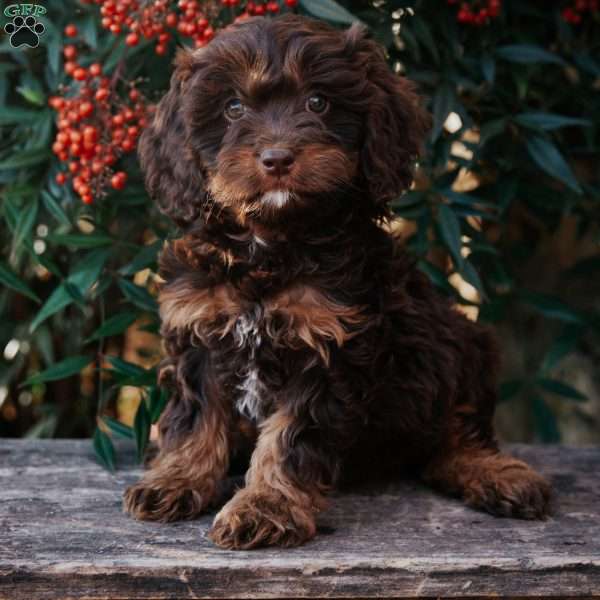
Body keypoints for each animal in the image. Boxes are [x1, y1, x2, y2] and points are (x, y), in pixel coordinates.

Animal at [124, 14, 552, 548]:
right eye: (232, 108)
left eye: (318, 102)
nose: (277, 158)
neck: (271, 246)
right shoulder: (200, 329)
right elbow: (195, 416)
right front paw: (176, 479)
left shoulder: (328, 345)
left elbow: (290, 437)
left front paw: (265, 507)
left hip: (458, 341)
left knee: (456, 430)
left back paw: (496, 474)